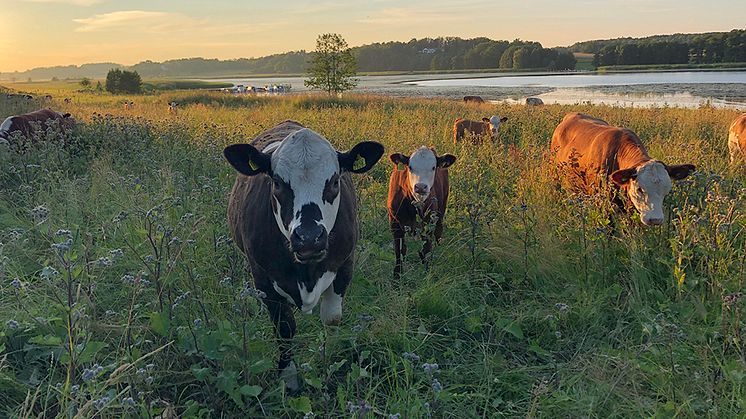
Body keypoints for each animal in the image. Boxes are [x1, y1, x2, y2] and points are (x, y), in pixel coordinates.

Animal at [222, 120, 384, 392]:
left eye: (334, 182)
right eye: (277, 183)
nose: (308, 237)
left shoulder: (345, 265)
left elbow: (332, 319)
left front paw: (329, 363)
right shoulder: (263, 279)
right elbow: (284, 328)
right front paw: (289, 379)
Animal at [386, 147, 456, 278]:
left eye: (433, 167)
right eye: (410, 167)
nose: (420, 187)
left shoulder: (428, 223)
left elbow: (426, 249)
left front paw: (427, 271)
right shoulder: (394, 223)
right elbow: (399, 250)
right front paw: (397, 275)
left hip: (442, 206)